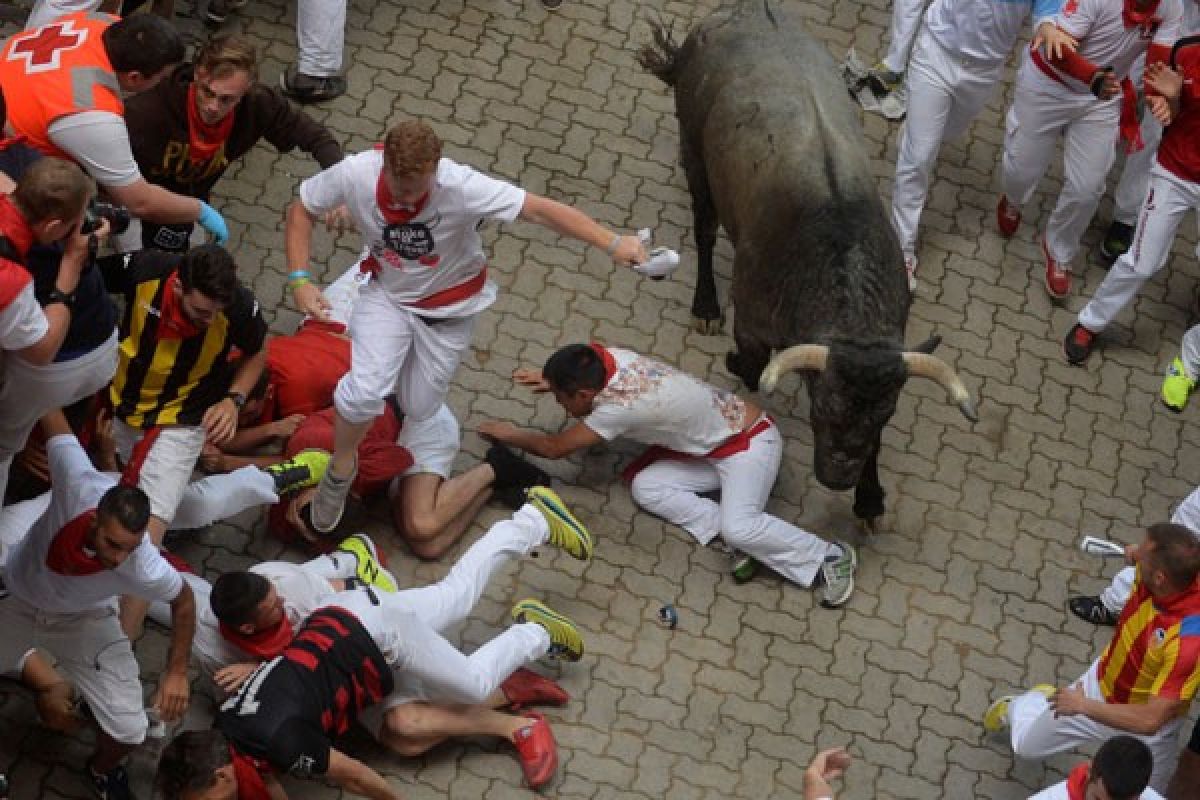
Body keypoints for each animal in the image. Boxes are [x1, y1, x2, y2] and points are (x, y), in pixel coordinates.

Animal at [638, 1, 974, 532]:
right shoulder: (753, 324)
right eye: (823, 405)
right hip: (694, 151)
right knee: (704, 229)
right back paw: (705, 305)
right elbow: (753, 367)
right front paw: (731, 360)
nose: (839, 477)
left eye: (884, 415)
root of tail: (745, 13)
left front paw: (869, 499)